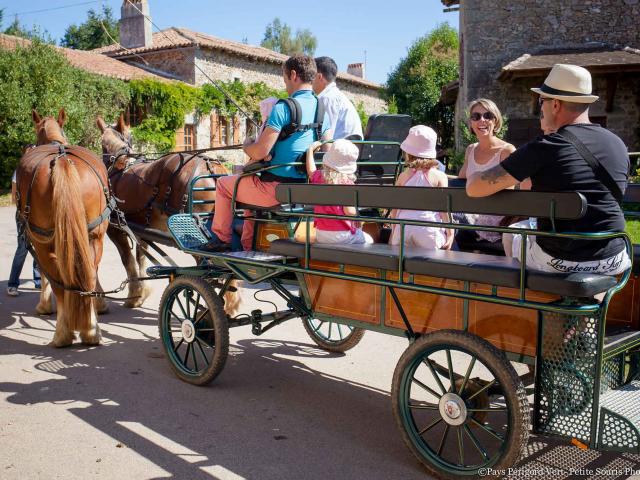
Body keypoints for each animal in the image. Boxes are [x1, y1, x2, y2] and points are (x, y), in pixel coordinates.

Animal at [16, 109, 111, 344]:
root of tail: (61, 160)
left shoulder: (37, 239)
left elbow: (44, 275)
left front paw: (44, 306)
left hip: (43, 241)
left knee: (59, 282)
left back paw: (62, 333)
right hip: (94, 236)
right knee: (89, 276)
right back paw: (91, 330)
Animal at [96, 114, 241, 312]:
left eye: (102, 143)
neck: (120, 164)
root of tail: (212, 167)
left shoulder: (115, 229)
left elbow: (128, 260)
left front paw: (133, 296)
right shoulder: (140, 228)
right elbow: (141, 257)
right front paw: (141, 294)